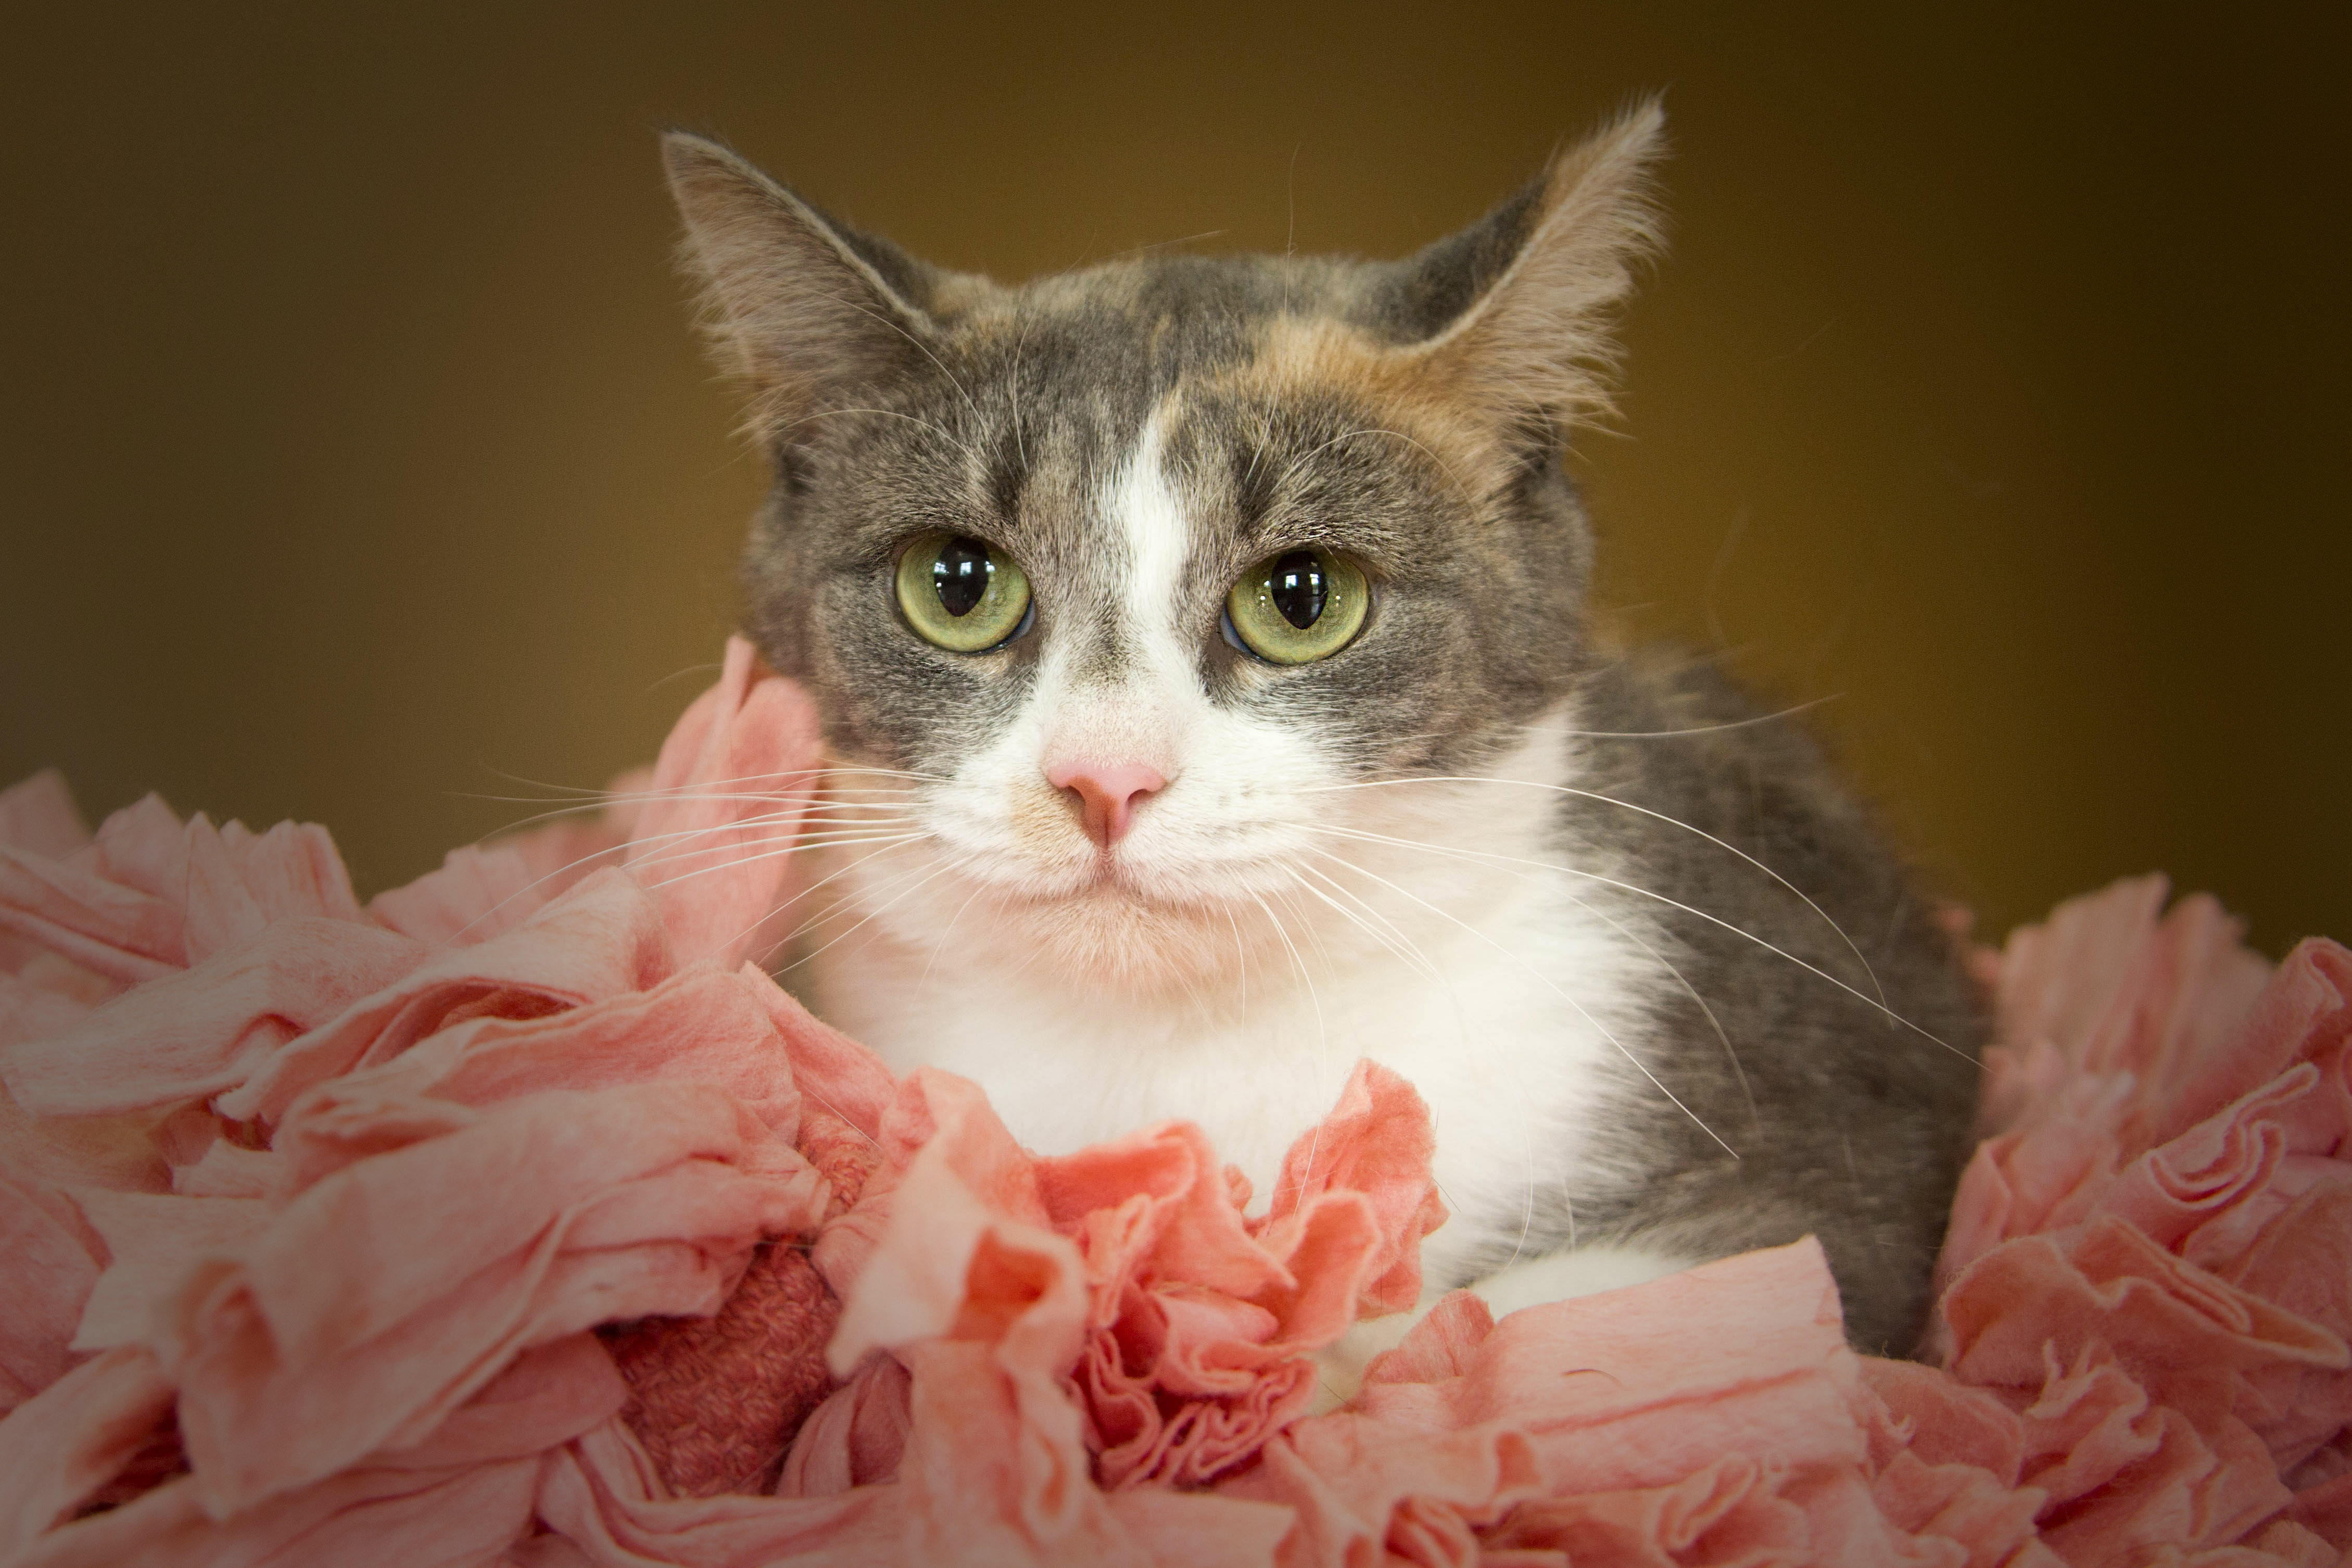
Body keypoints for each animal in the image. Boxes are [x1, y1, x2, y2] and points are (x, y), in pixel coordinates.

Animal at [659, 100, 1985, 1362]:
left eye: (1303, 598)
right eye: (956, 584)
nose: (1105, 778)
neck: (1175, 1050)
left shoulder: (1831, 1142)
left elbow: (1564, 1314)